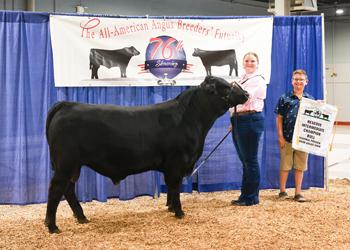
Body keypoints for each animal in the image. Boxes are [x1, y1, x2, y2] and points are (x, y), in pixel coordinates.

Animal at [44, 75, 249, 233]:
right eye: (224, 86)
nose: (246, 94)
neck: (193, 119)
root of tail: (66, 104)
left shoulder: (169, 166)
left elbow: (170, 187)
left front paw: (170, 208)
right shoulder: (177, 161)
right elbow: (175, 187)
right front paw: (179, 212)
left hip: (73, 165)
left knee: (68, 189)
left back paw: (81, 217)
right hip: (66, 163)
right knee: (56, 189)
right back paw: (52, 226)